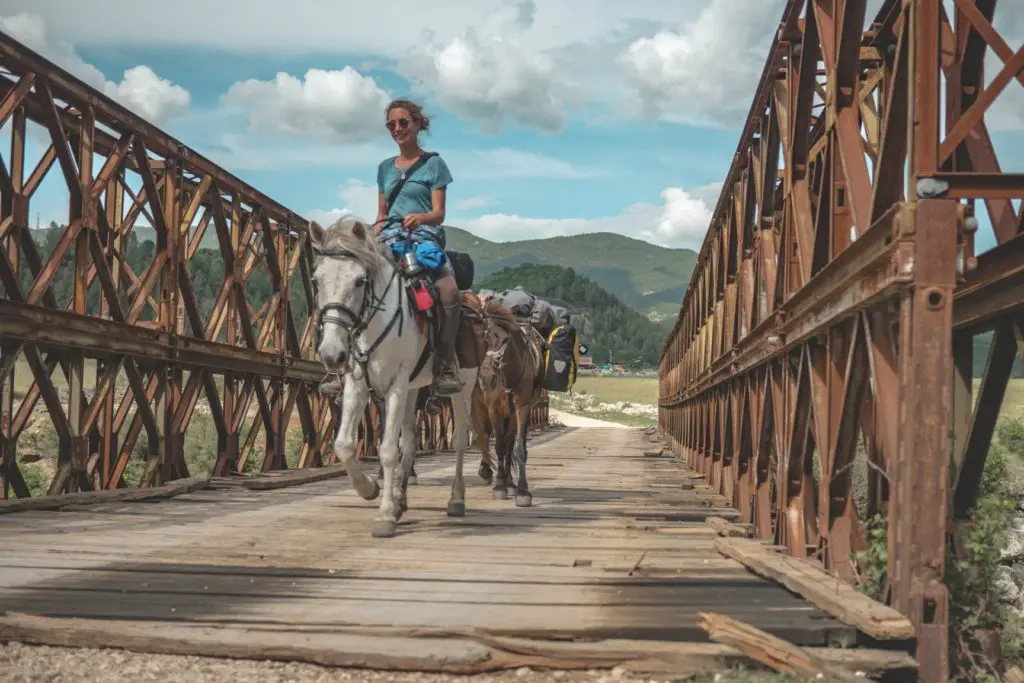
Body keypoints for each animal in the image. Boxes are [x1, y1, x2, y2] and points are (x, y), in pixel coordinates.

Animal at [307, 216, 479, 536]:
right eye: (316, 280)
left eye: (359, 280)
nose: (332, 353)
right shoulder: (358, 385)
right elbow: (344, 444)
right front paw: (369, 490)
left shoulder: (396, 385)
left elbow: (388, 449)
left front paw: (385, 515)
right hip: (413, 389)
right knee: (410, 440)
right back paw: (401, 499)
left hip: (464, 386)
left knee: (461, 437)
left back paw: (456, 499)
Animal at [471, 299, 548, 507]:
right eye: (483, 338)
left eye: (506, 340)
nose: (486, 378)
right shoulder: (493, 409)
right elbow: (497, 445)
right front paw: (499, 486)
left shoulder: (521, 409)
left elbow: (516, 448)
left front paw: (521, 490)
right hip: (478, 407)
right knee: (483, 436)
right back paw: (487, 472)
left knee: (507, 443)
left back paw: (509, 481)